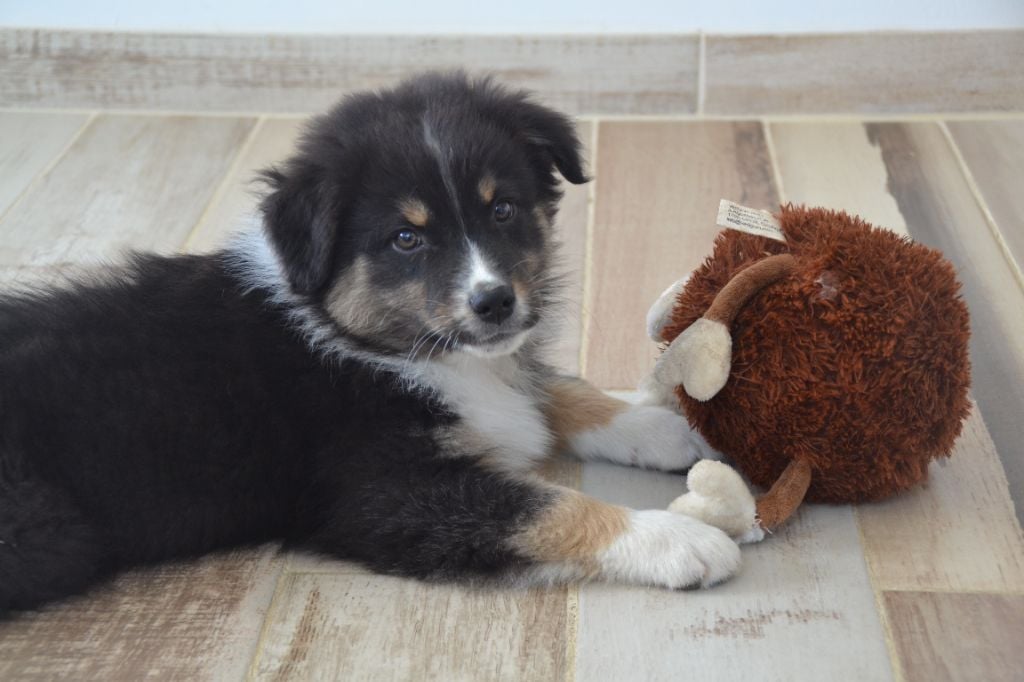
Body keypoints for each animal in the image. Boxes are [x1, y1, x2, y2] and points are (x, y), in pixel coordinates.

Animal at [0, 73, 740, 613]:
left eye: (502, 208)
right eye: (406, 238)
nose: (495, 302)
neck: (370, 344)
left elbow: (552, 389)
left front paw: (657, 426)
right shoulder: (380, 493)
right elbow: (548, 506)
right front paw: (680, 539)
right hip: (51, 533)